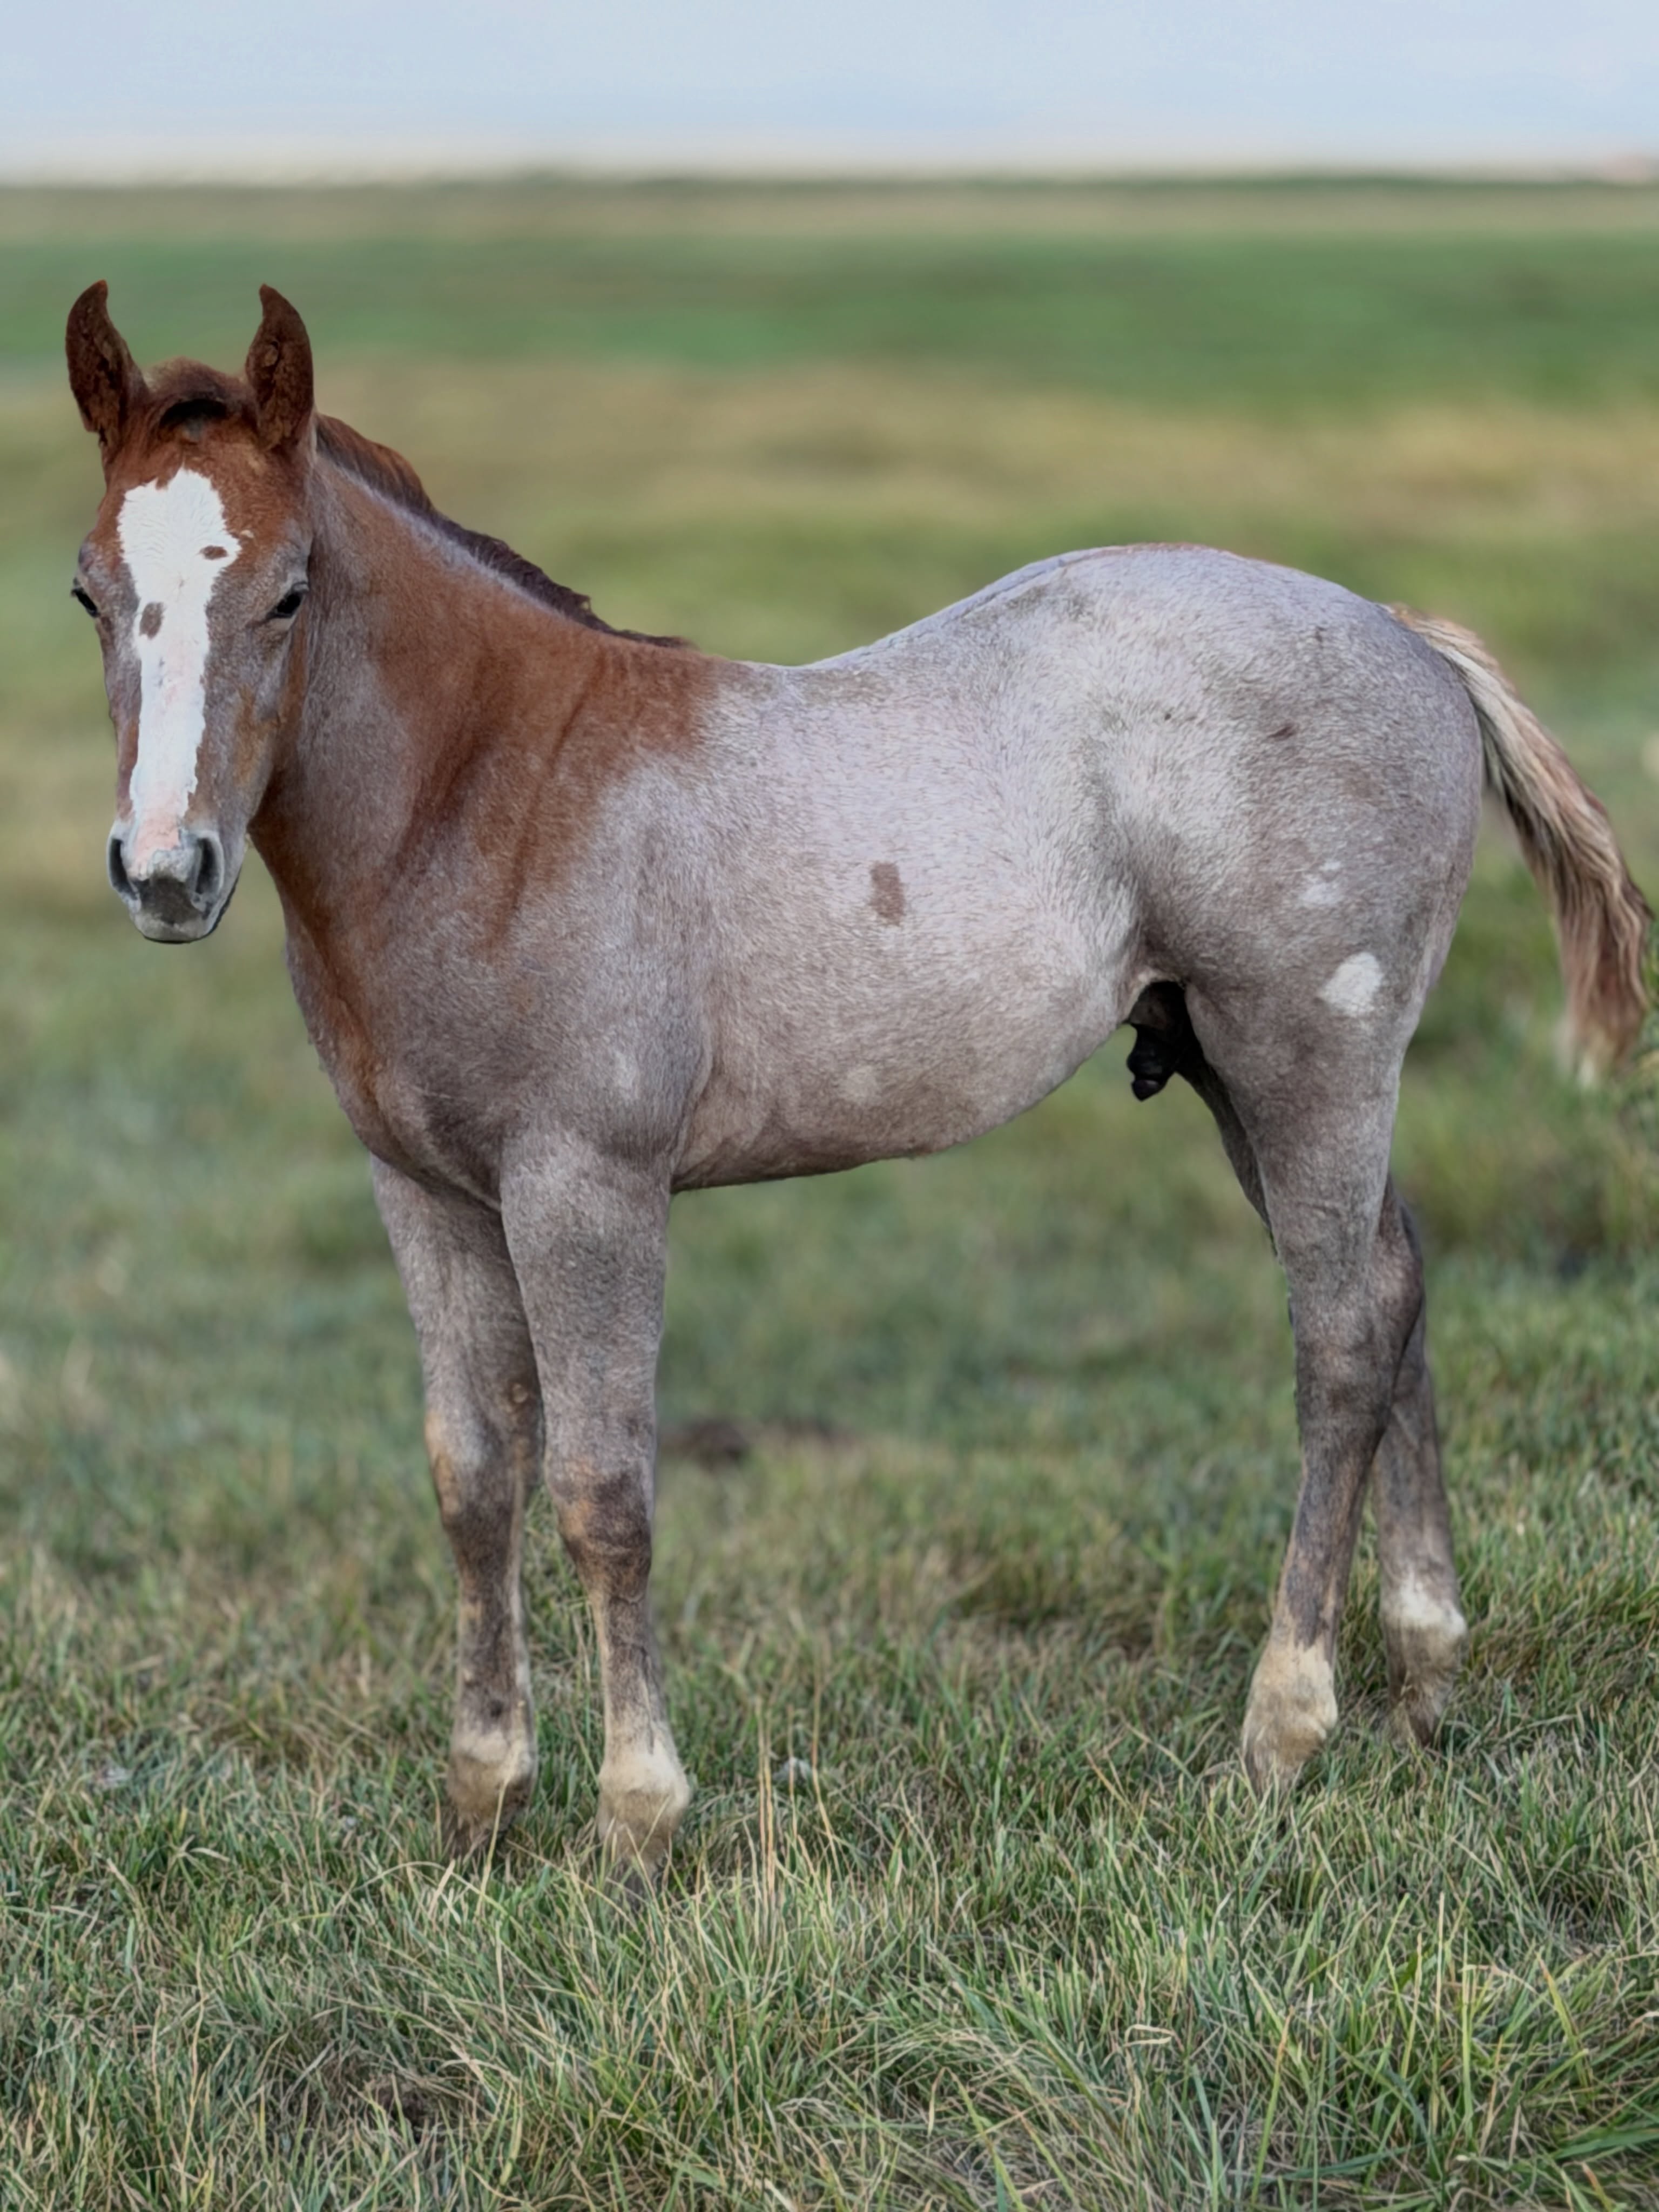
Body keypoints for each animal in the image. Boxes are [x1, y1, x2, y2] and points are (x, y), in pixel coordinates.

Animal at [66, 282, 1649, 1878]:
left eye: (289, 592)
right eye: (86, 592)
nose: (163, 873)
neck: (492, 799)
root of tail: (1407, 637)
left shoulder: (587, 1188)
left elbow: (600, 1493)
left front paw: (634, 1822)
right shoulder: (424, 1191)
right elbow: (473, 1480)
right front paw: (480, 1804)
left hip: (1306, 1055)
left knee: (1337, 1343)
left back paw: (1281, 1730)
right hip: (1239, 1070)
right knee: (1395, 1289)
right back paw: (1425, 1679)